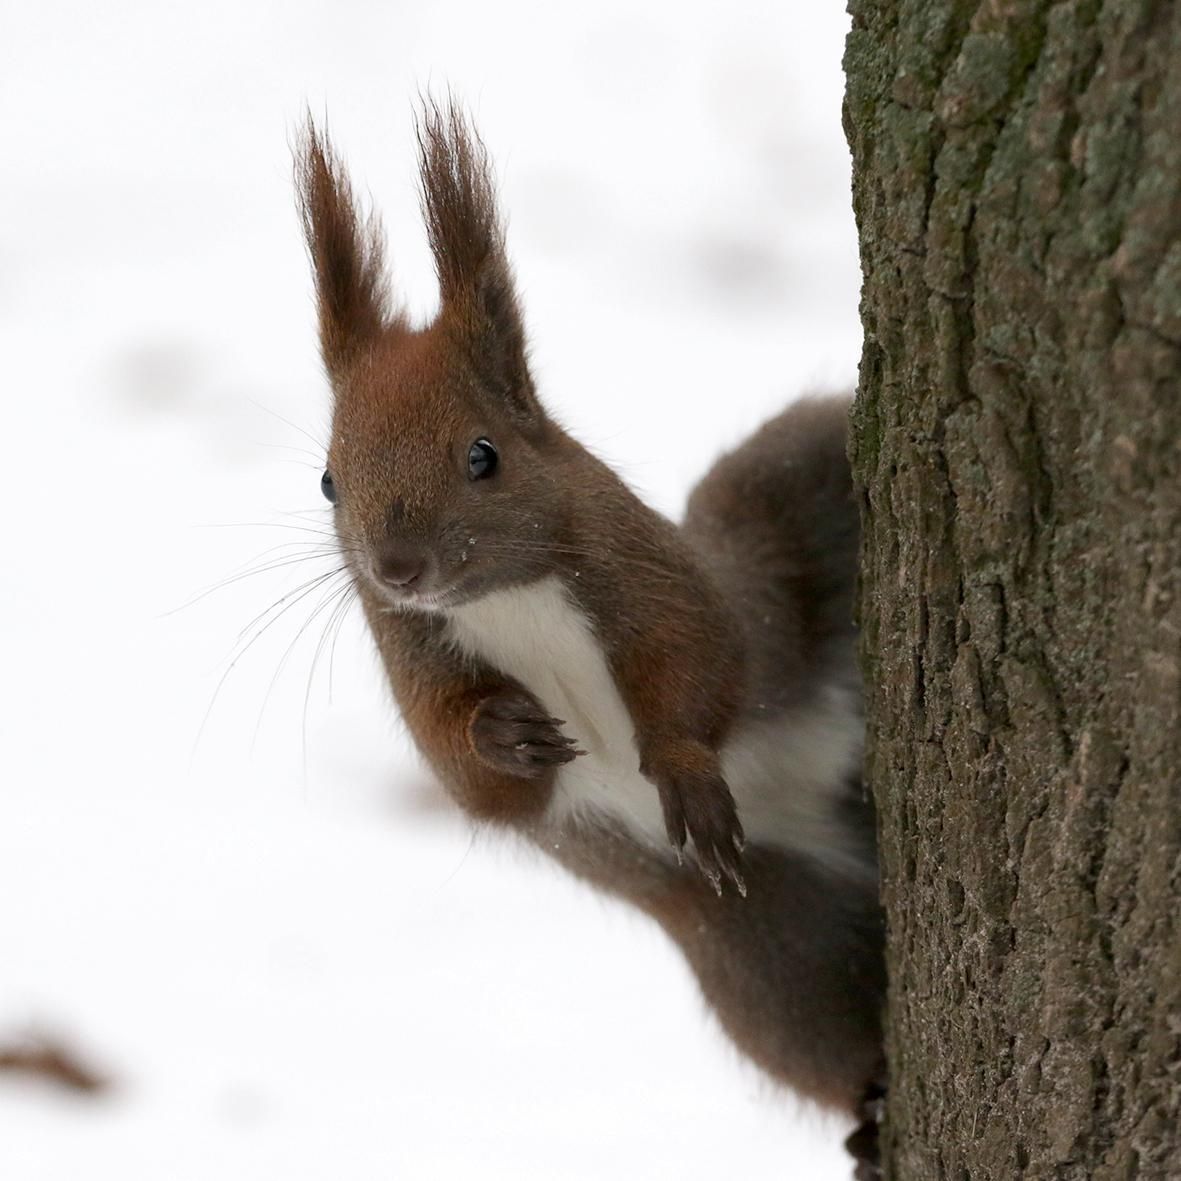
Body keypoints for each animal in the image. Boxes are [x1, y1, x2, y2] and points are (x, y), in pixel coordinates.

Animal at [295, 106, 888, 1176]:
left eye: (483, 454)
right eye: (328, 478)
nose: (396, 569)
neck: (513, 604)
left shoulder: (676, 591)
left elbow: (703, 664)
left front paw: (685, 769)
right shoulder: (419, 665)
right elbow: (475, 782)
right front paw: (503, 735)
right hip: (772, 955)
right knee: (833, 1030)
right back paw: (872, 1108)